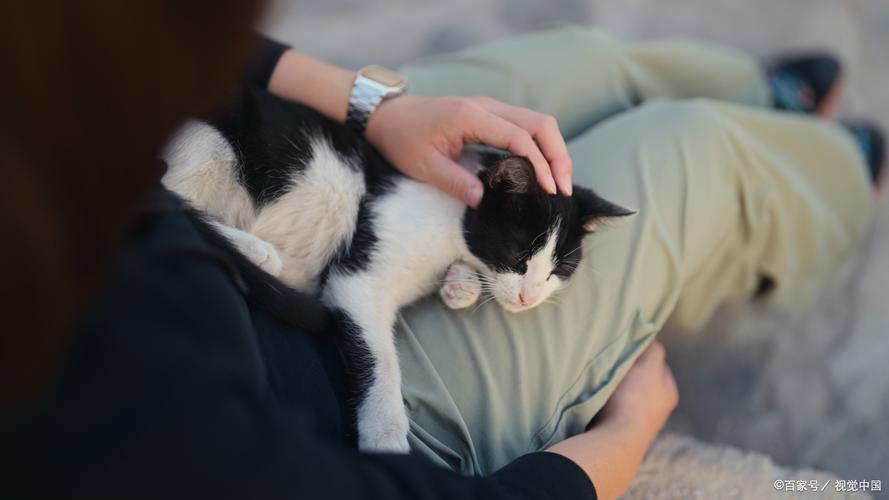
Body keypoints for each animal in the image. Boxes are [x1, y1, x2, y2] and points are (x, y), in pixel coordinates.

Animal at [163, 86, 636, 454]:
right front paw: (386, 440)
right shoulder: (357, 278)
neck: (452, 216)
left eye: (559, 269)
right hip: (213, 142)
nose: (528, 298)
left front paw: (460, 284)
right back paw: (257, 253)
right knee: (167, 198)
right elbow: (381, 361)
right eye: (519, 255)